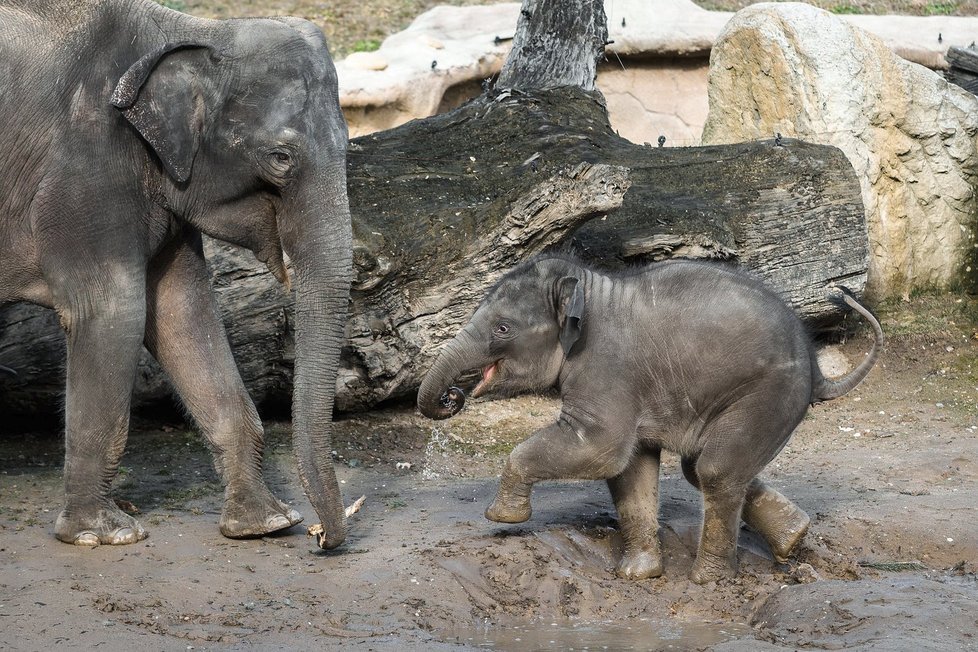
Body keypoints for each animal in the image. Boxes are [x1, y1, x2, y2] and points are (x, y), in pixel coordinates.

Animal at [0, 1, 350, 552]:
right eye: (280, 158)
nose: (321, 538)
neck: (190, 30)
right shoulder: (85, 169)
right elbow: (115, 312)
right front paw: (104, 534)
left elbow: (182, 311)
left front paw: (265, 523)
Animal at [416, 253, 880, 580]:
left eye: (502, 329)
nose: (453, 396)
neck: (588, 287)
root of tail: (819, 372)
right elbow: (630, 467)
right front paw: (637, 575)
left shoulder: (606, 369)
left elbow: (602, 448)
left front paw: (502, 518)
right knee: (702, 468)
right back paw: (793, 537)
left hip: (768, 394)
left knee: (715, 470)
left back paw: (708, 580)